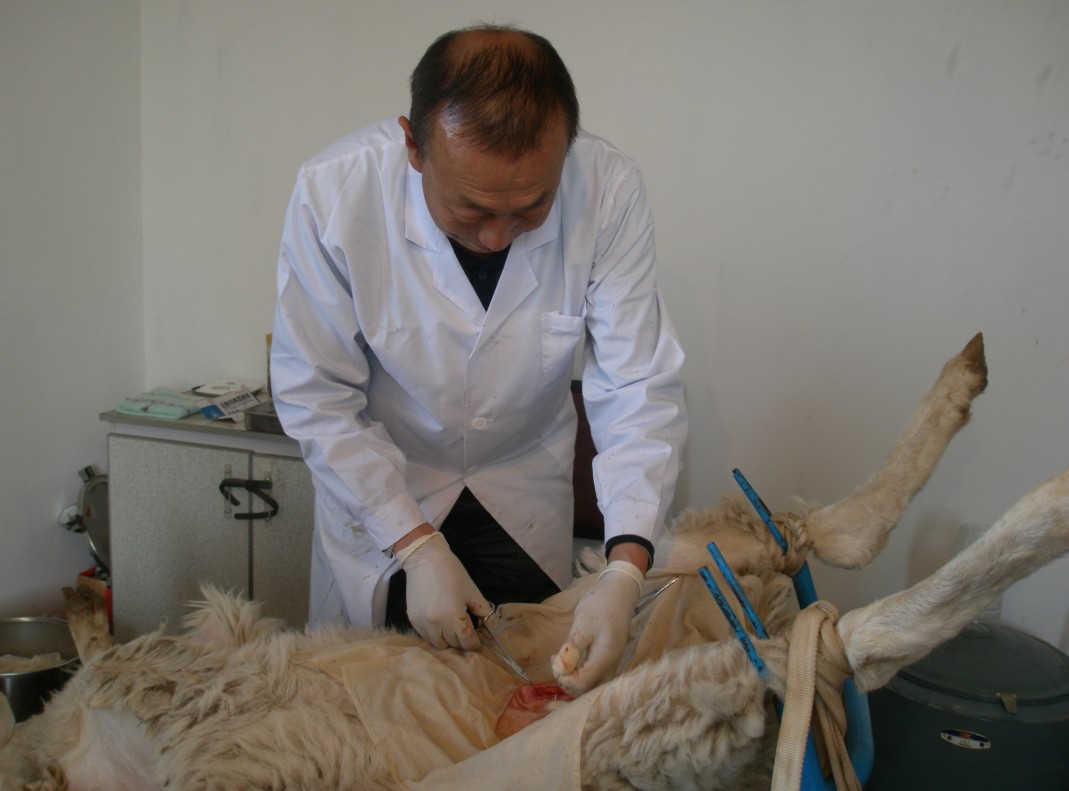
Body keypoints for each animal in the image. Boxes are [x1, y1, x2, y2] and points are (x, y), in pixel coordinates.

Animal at [3, 333, 1068, 791]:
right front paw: (80, 606)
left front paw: (82, 612)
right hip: (608, 640)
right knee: (811, 570)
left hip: (602, 684)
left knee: (833, 624)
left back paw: (1035, 485)